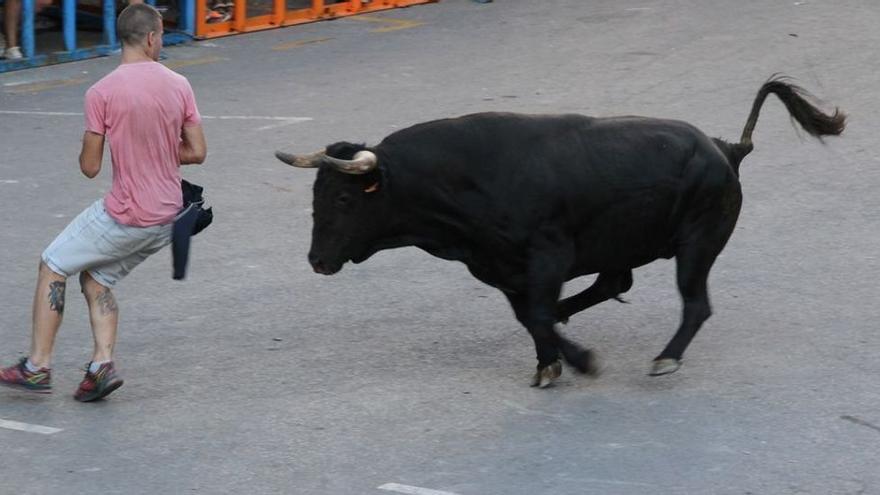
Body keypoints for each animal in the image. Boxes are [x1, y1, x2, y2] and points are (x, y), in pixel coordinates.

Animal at [276, 76, 844, 388]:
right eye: (316, 196)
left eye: (344, 198)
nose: (317, 260)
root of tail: (725, 148)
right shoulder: (502, 269)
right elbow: (532, 316)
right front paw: (551, 363)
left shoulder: (546, 256)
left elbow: (539, 314)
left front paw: (579, 361)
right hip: (629, 247)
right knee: (612, 284)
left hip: (697, 244)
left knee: (694, 304)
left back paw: (665, 358)